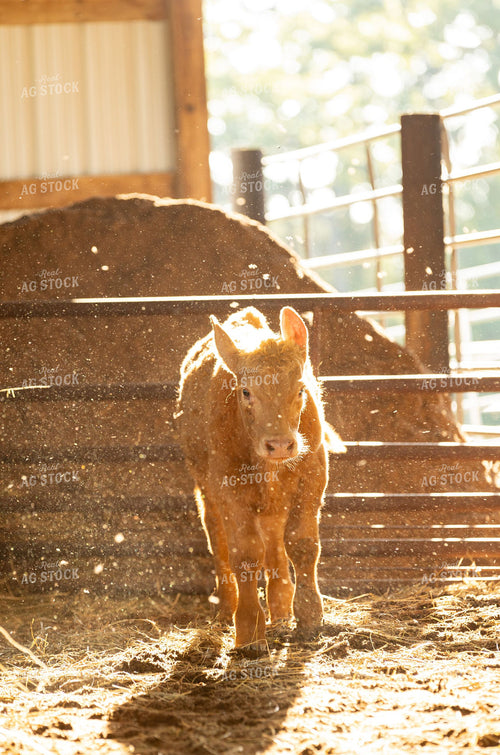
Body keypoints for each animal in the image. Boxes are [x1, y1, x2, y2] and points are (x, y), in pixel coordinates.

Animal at [174, 306, 345, 654]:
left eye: (300, 389)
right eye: (246, 392)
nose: (279, 445)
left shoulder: (312, 478)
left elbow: (302, 545)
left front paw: (309, 618)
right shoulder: (229, 490)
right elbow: (245, 555)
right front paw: (250, 631)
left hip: (274, 506)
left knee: (275, 548)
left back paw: (280, 613)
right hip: (207, 492)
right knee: (219, 542)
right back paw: (227, 611)